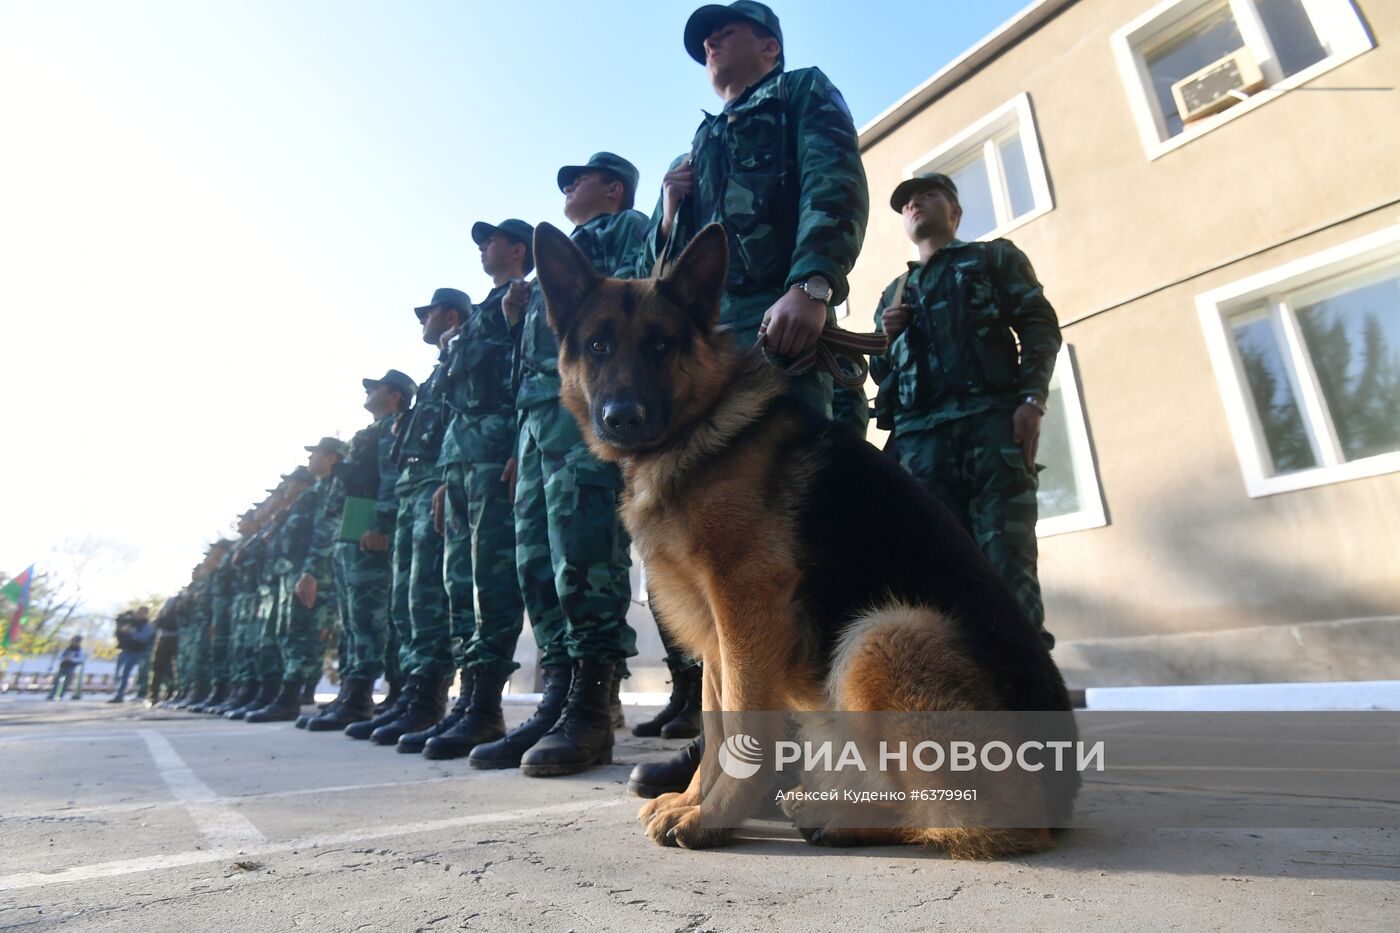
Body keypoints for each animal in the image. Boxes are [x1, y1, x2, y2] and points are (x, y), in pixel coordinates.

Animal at [532, 221, 1069, 851]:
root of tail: (1064, 797)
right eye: (598, 346)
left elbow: (743, 725)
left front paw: (715, 817)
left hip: (884, 633)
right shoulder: (718, 632)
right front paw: (693, 800)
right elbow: (716, 726)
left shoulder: (747, 603)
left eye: (662, 345)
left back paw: (843, 819)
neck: (702, 425)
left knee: (973, 819)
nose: (623, 417)